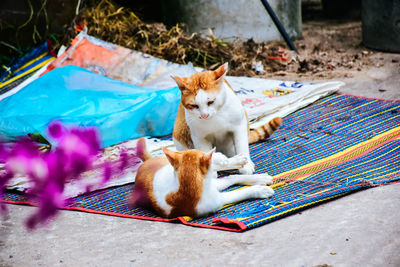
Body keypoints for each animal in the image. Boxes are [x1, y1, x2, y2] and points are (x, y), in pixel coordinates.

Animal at [131, 138, 276, 220]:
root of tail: (146, 162)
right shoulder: (218, 199)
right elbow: (239, 192)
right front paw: (260, 190)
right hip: (215, 182)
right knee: (228, 176)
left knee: (223, 168)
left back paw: (234, 160)